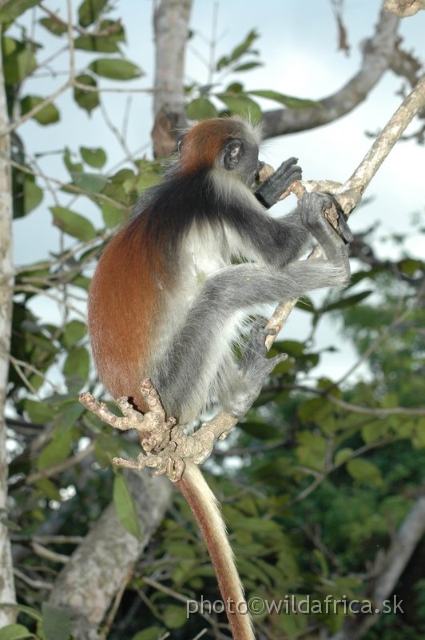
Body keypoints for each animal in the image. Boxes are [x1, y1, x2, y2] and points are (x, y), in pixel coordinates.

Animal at [88, 117, 350, 422]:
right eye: (254, 157)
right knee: (220, 293)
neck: (194, 172)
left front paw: (269, 191)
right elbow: (280, 249)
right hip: (171, 390)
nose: (258, 170)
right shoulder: (223, 190)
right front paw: (323, 205)